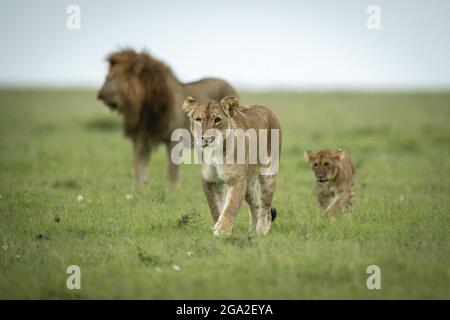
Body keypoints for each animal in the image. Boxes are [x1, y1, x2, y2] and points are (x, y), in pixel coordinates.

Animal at [95, 49, 236, 188]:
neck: (145, 106)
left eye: (112, 78)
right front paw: (138, 190)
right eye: (107, 77)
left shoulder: (174, 139)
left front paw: (172, 191)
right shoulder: (140, 139)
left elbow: (172, 170)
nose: (99, 95)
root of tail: (228, 84)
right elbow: (139, 168)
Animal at [182, 96, 282, 236]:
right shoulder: (210, 181)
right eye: (198, 119)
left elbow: (230, 206)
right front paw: (218, 226)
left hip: (268, 175)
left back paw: (261, 232)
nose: (206, 139)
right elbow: (216, 208)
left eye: (217, 120)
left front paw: (222, 231)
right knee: (255, 204)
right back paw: (252, 231)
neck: (214, 153)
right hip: (248, 185)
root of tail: (267, 110)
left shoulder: (236, 180)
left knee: (265, 209)